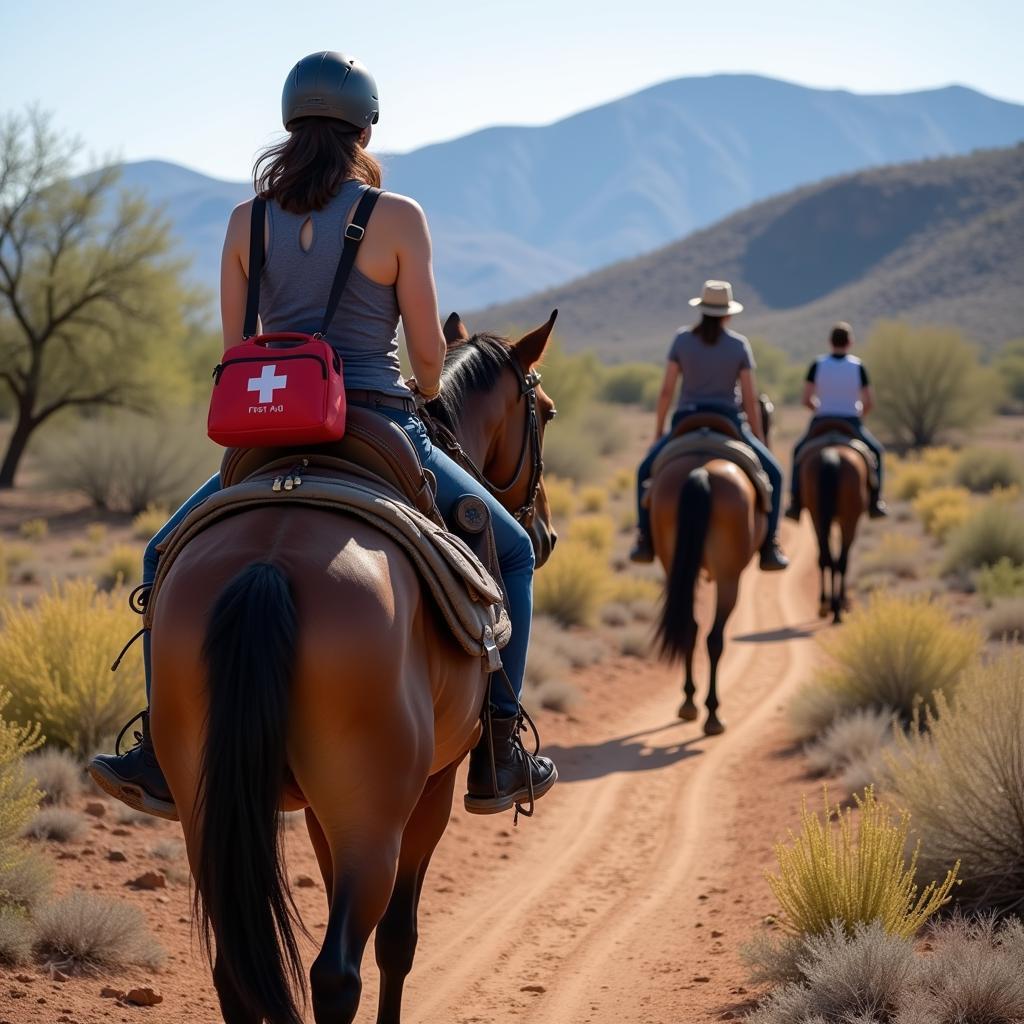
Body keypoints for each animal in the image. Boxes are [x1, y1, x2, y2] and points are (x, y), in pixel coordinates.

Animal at [148, 313, 557, 1024]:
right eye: (549, 412)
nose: (548, 534)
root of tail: (269, 563)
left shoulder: (319, 807)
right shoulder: (433, 789)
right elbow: (398, 941)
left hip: (207, 804)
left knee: (234, 971)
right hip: (374, 815)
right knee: (336, 972)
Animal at [651, 403, 770, 733]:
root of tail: (701, 469)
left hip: (674, 566)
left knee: (690, 628)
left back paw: (689, 703)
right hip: (729, 577)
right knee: (714, 637)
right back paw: (713, 714)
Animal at [798, 444, 864, 618]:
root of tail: (832, 453)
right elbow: (842, 559)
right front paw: (841, 602)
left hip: (816, 516)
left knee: (825, 556)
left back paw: (826, 605)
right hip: (848, 519)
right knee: (840, 561)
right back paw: (836, 607)